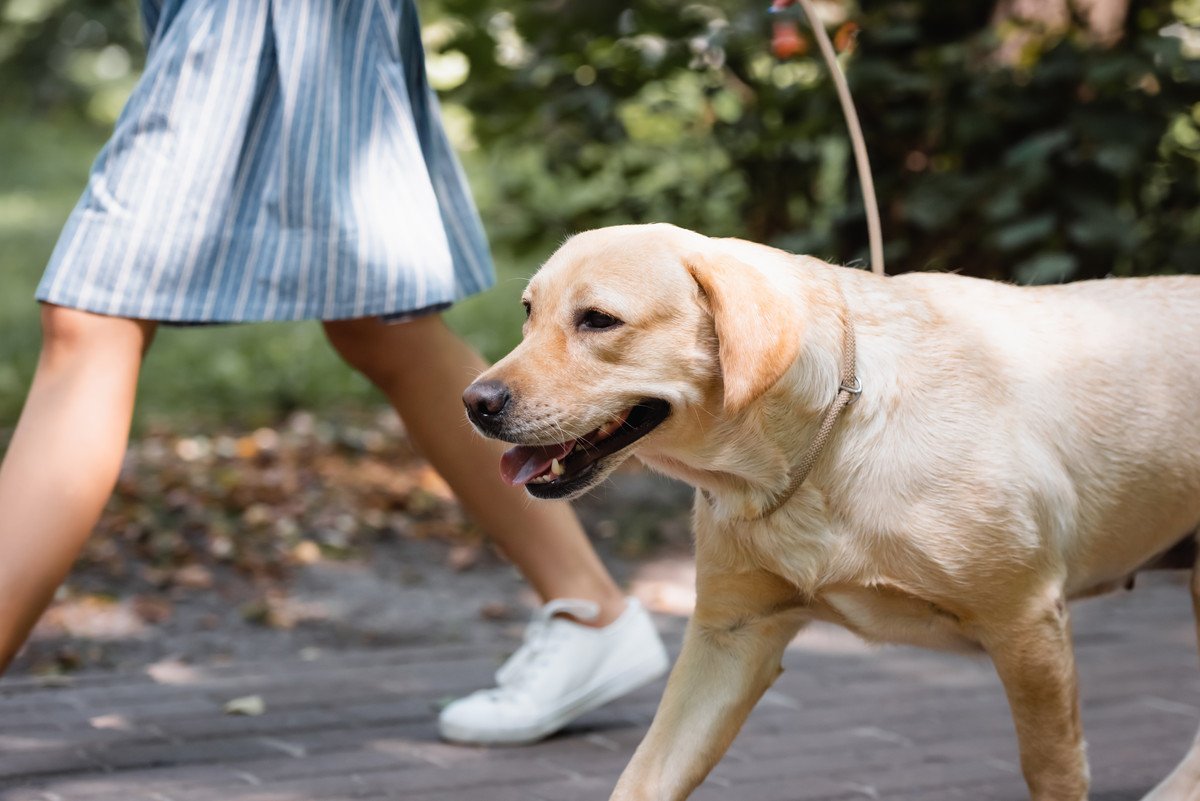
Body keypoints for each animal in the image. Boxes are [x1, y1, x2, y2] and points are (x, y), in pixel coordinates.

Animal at [458, 224, 1200, 801]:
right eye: (527, 311)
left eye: (598, 320)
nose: (475, 402)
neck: (817, 452)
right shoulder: (730, 636)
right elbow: (644, 776)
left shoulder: (1027, 623)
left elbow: (1052, 768)